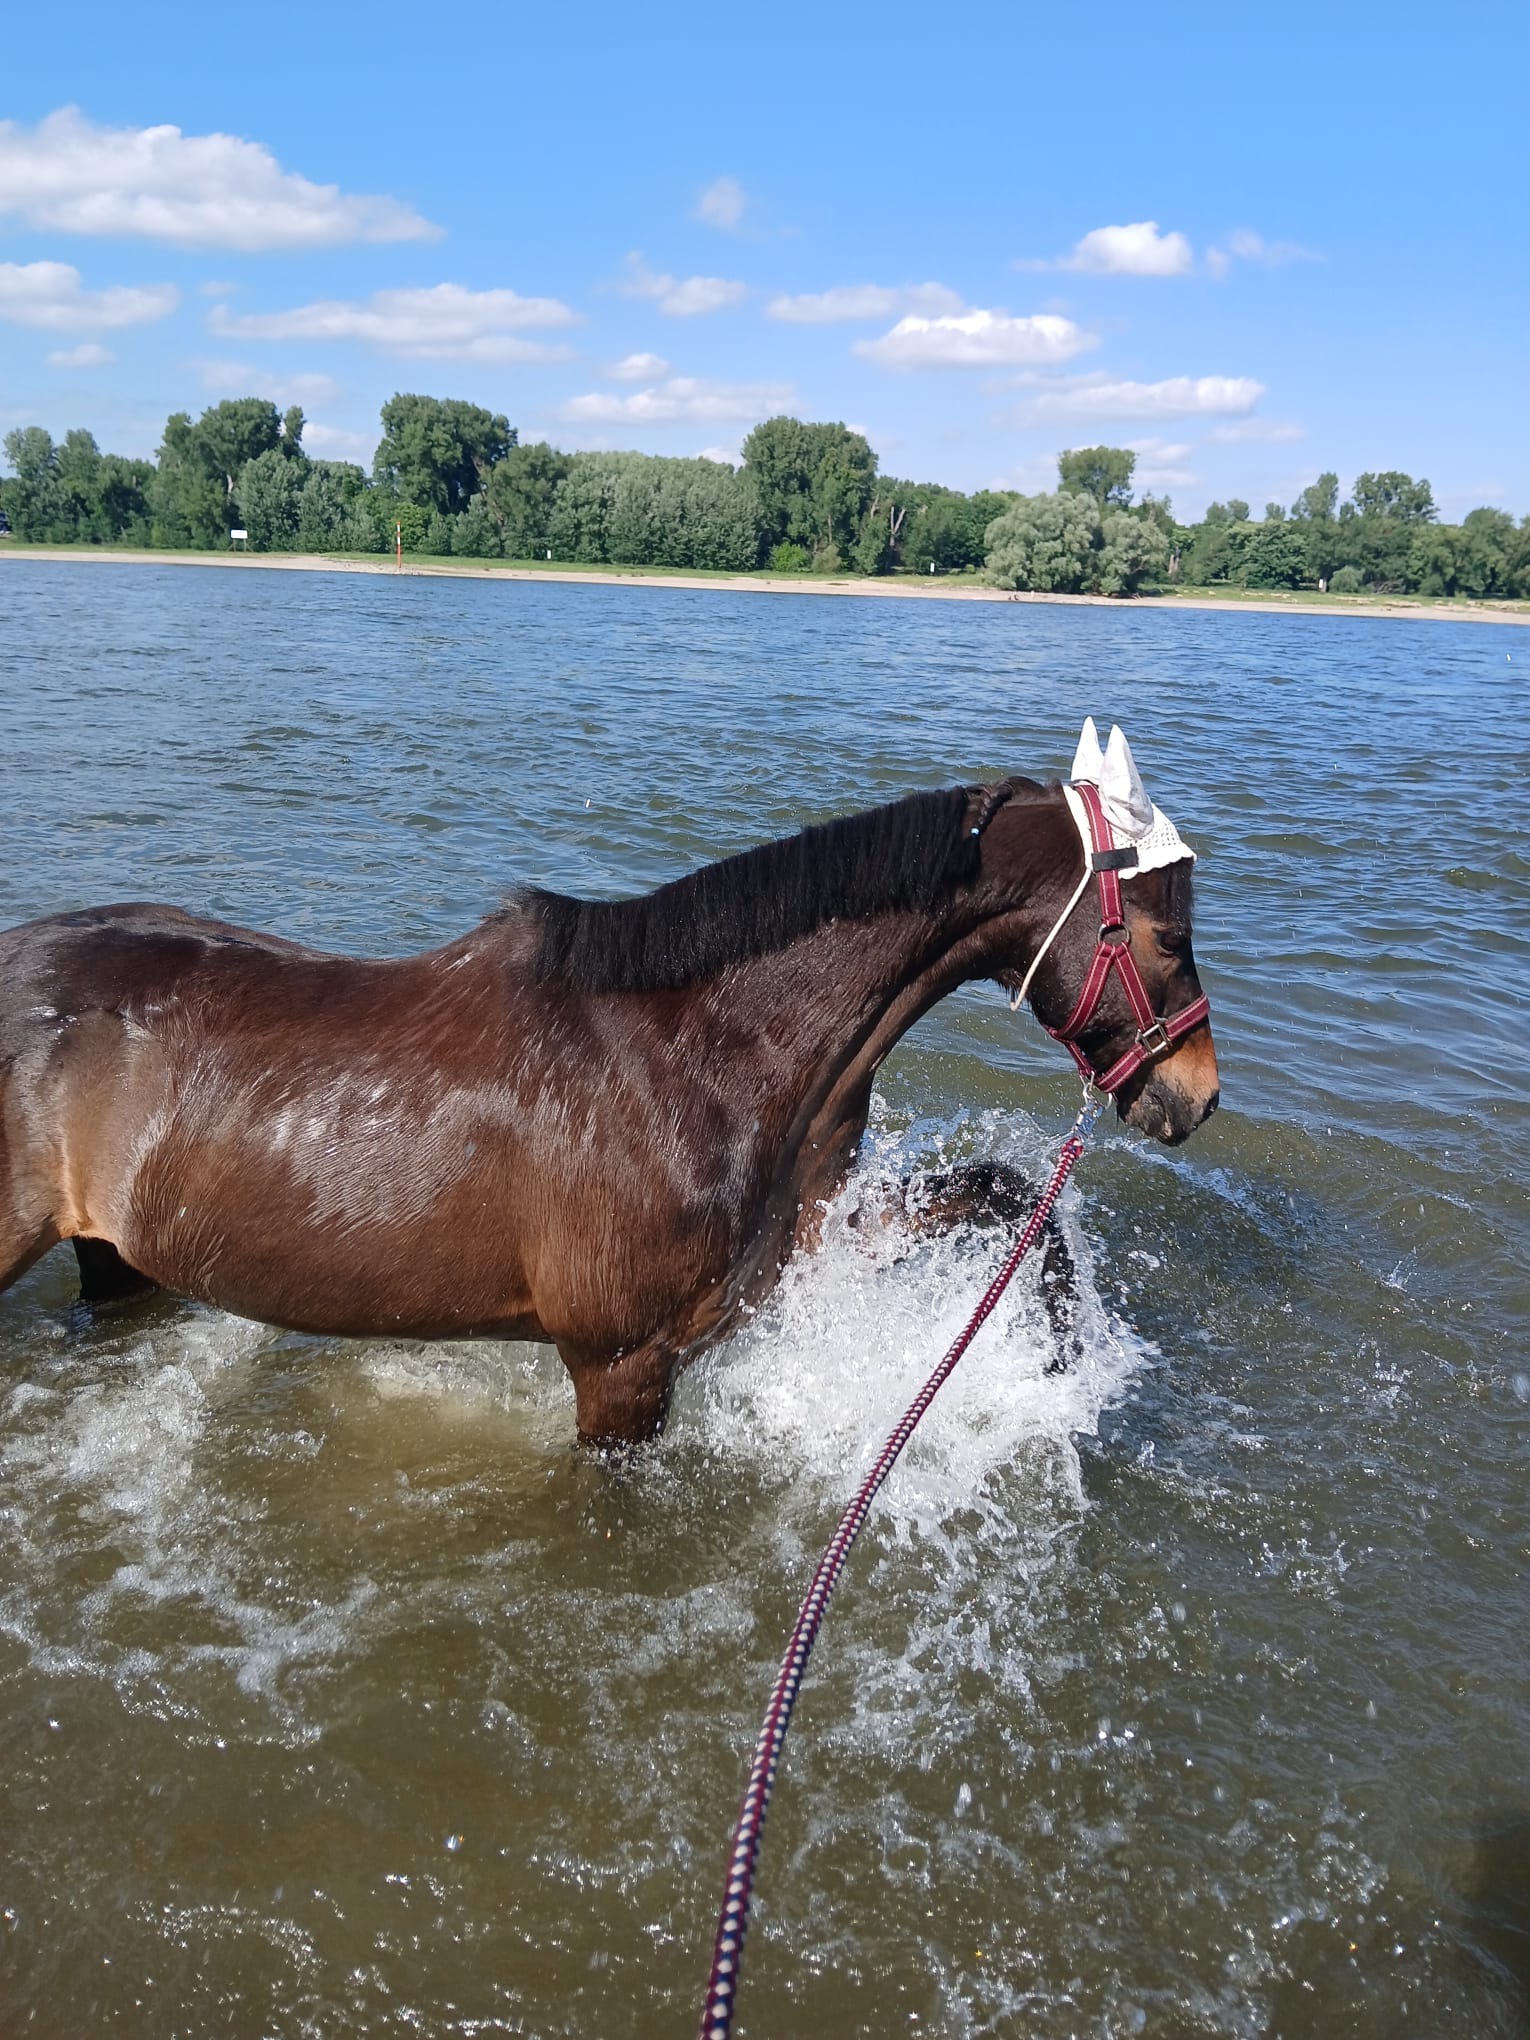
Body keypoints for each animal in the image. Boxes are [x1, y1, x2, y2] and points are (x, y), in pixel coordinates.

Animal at [0, 727, 1218, 1445]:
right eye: (1166, 934)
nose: (1195, 1096)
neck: (700, 1056)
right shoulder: (621, 1369)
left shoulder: (796, 1258)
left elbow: (1003, 1197)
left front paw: (1057, 1348)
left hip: (115, 1253)